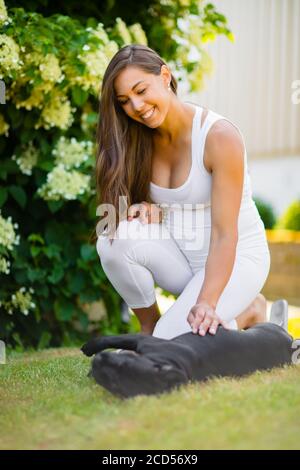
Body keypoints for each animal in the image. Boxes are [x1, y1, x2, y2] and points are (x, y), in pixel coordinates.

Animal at [81, 324, 294, 398]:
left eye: (115, 384)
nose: (99, 361)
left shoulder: (142, 339)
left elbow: (111, 339)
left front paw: (88, 349)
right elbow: (111, 339)